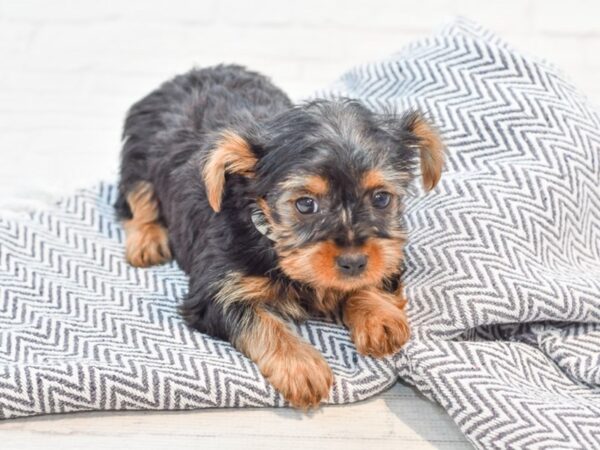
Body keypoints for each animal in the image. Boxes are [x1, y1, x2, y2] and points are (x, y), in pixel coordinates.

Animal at [115, 65, 442, 410]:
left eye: (381, 198)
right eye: (305, 204)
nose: (354, 262)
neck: (268, 234)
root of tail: (186, 76)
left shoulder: (388, 251)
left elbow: (374, 273)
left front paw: (378, 315)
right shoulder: (216, 291)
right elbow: (260, 322)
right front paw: (302, 367)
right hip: (139, 155)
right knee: (137, 199)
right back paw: (148, 241)